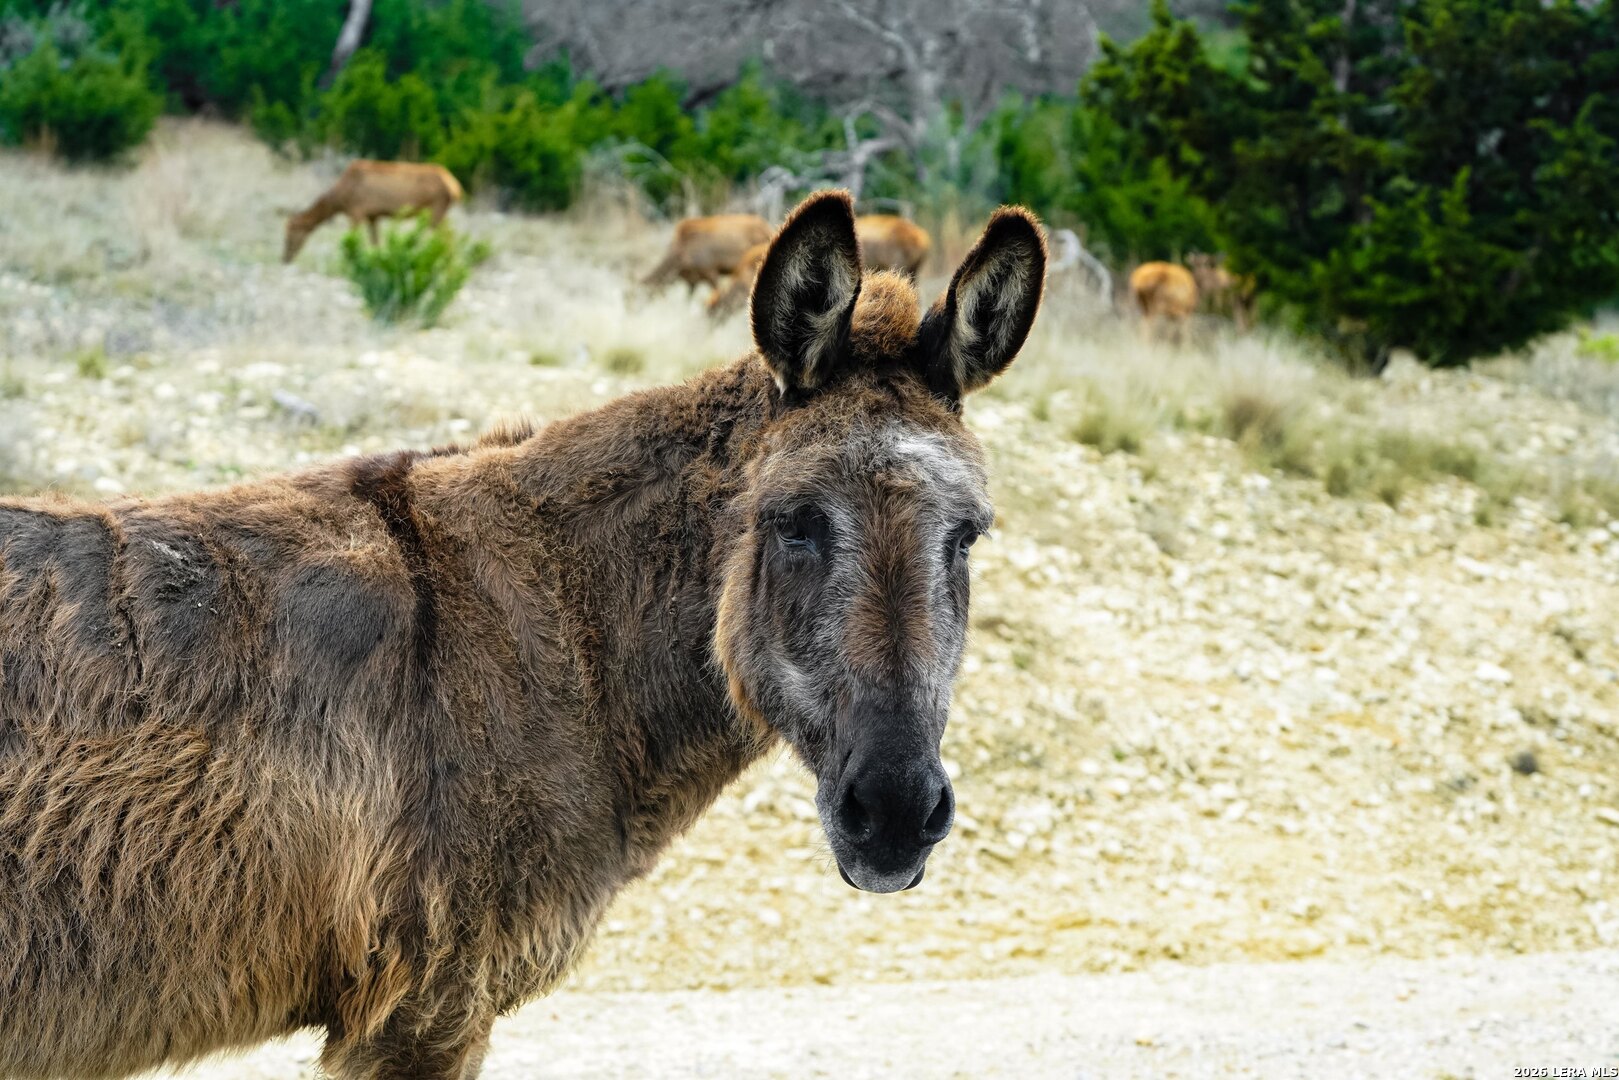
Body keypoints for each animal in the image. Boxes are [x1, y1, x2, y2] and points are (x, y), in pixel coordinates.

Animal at [283, 160, 464, 264]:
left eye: (290, 233)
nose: (284, 258)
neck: (339, 201)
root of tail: (455, 188)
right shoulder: (373, 216)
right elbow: (375, 244)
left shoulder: (356, 212)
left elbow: (353, 240)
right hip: (441, 213)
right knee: (450, 235)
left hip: (435, 211)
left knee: (449, 237)